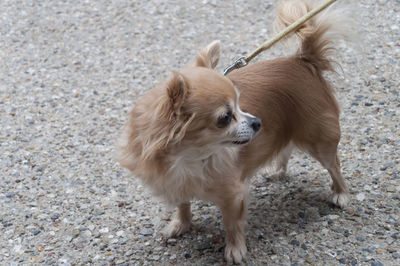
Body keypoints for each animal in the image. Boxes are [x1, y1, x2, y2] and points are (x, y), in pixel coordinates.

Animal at [116, 0, 354, 262]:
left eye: (240, 105)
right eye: (225, 118)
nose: (258, 122)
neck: (189, 157)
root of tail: (302, 60)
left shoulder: (233, 195)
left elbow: (232, 224)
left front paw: (235, 249)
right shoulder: (178, 184)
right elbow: (183, 205)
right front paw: (180, 225)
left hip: (319, 142)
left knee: (335, 167)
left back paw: (341, 194)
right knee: (286, 146)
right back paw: (278, 170)